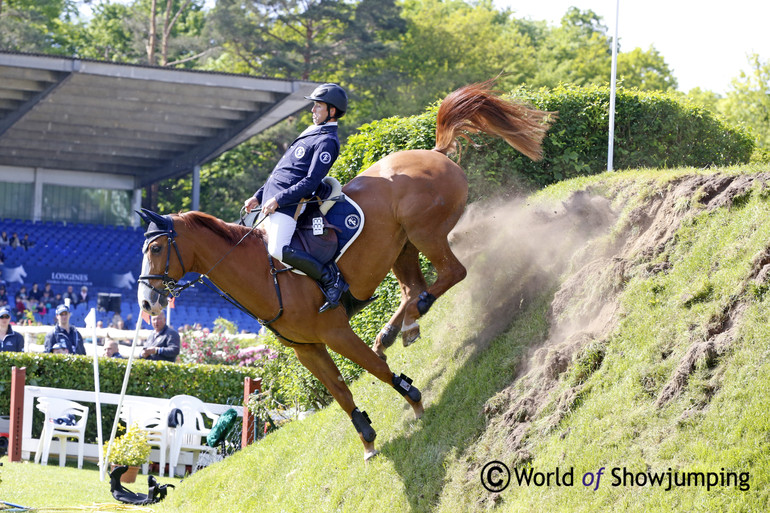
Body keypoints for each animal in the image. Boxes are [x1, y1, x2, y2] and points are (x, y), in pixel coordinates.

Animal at [138, 80, 552, 460]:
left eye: (156, 248)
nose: (146, 302)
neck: (263, 272)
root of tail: (435, 154)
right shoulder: (307, 348)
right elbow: (339, 389)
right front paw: (367, 437)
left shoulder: (336, 332)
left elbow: (373, 369)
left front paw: (413, 397)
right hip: (402, 247)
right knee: (412, 288)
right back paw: (398, 330)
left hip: (426, 233)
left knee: (450, 274)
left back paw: (413, 317)